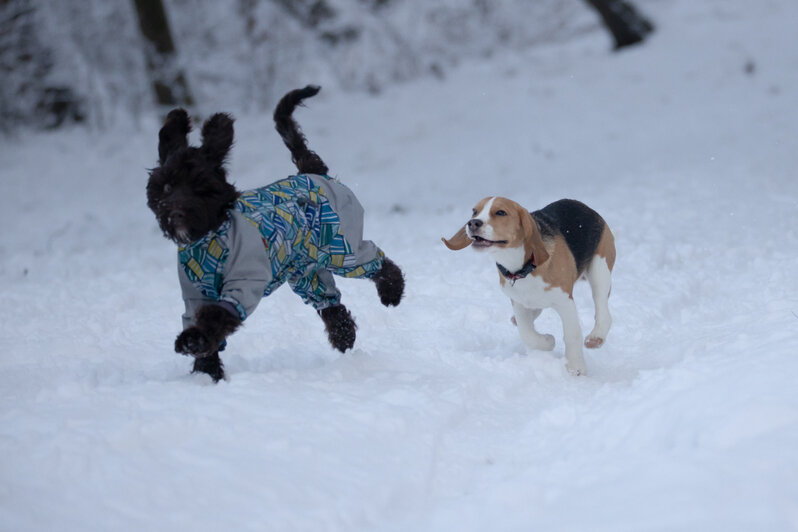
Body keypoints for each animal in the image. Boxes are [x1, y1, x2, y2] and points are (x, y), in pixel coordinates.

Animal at [145, 85, 406, 380]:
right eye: (167, 187)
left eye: (199, 188)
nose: (175, 213)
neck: (212, 237)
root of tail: (313, 172)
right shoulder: (194, 294)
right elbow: (202, 321)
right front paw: (206, 373)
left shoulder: (243, 282)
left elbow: (216, 317)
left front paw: (194, 342)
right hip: (305, 271)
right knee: (329, 302)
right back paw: (344, 336)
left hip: (340, 247)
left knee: (376, 260)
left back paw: (392, 291)